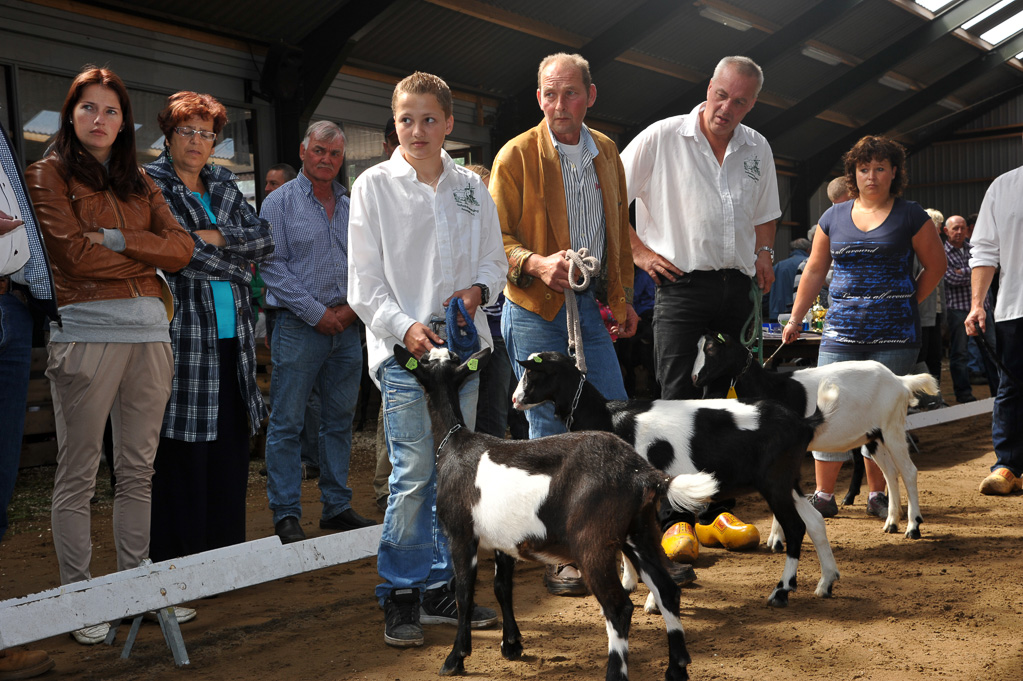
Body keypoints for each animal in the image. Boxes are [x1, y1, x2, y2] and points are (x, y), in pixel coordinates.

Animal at [392, 345, 720, 678]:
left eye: (423, 362)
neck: (454, 442)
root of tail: (642, 473)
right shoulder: (503, 541)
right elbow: (501, 587)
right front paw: (511, 645)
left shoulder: (461, 535)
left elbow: (464, 595)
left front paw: (455, 658)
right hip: (638, 532)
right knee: (668, 591)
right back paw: (677, 668)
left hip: (593, 542)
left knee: (618, 608)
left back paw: (616, 672)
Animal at [511, 349, 838, 605]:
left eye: (531, 374)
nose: (514, 399)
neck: (608, 418)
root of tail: (804, 423)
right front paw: (629, 583)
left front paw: (652, 601)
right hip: (788, 480)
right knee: (814, 521)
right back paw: (826, 583)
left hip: (774, 482)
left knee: (796, 527)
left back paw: (781, 592)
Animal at [691, 331, 937, 539]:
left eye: (711, 348)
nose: (694, 378)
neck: (771, 387)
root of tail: (900, 381)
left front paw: (777, 538)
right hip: (874, 436)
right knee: (890, 473)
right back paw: (891, 523)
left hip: (892, 428)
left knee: (908, 472)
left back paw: (913, 527)